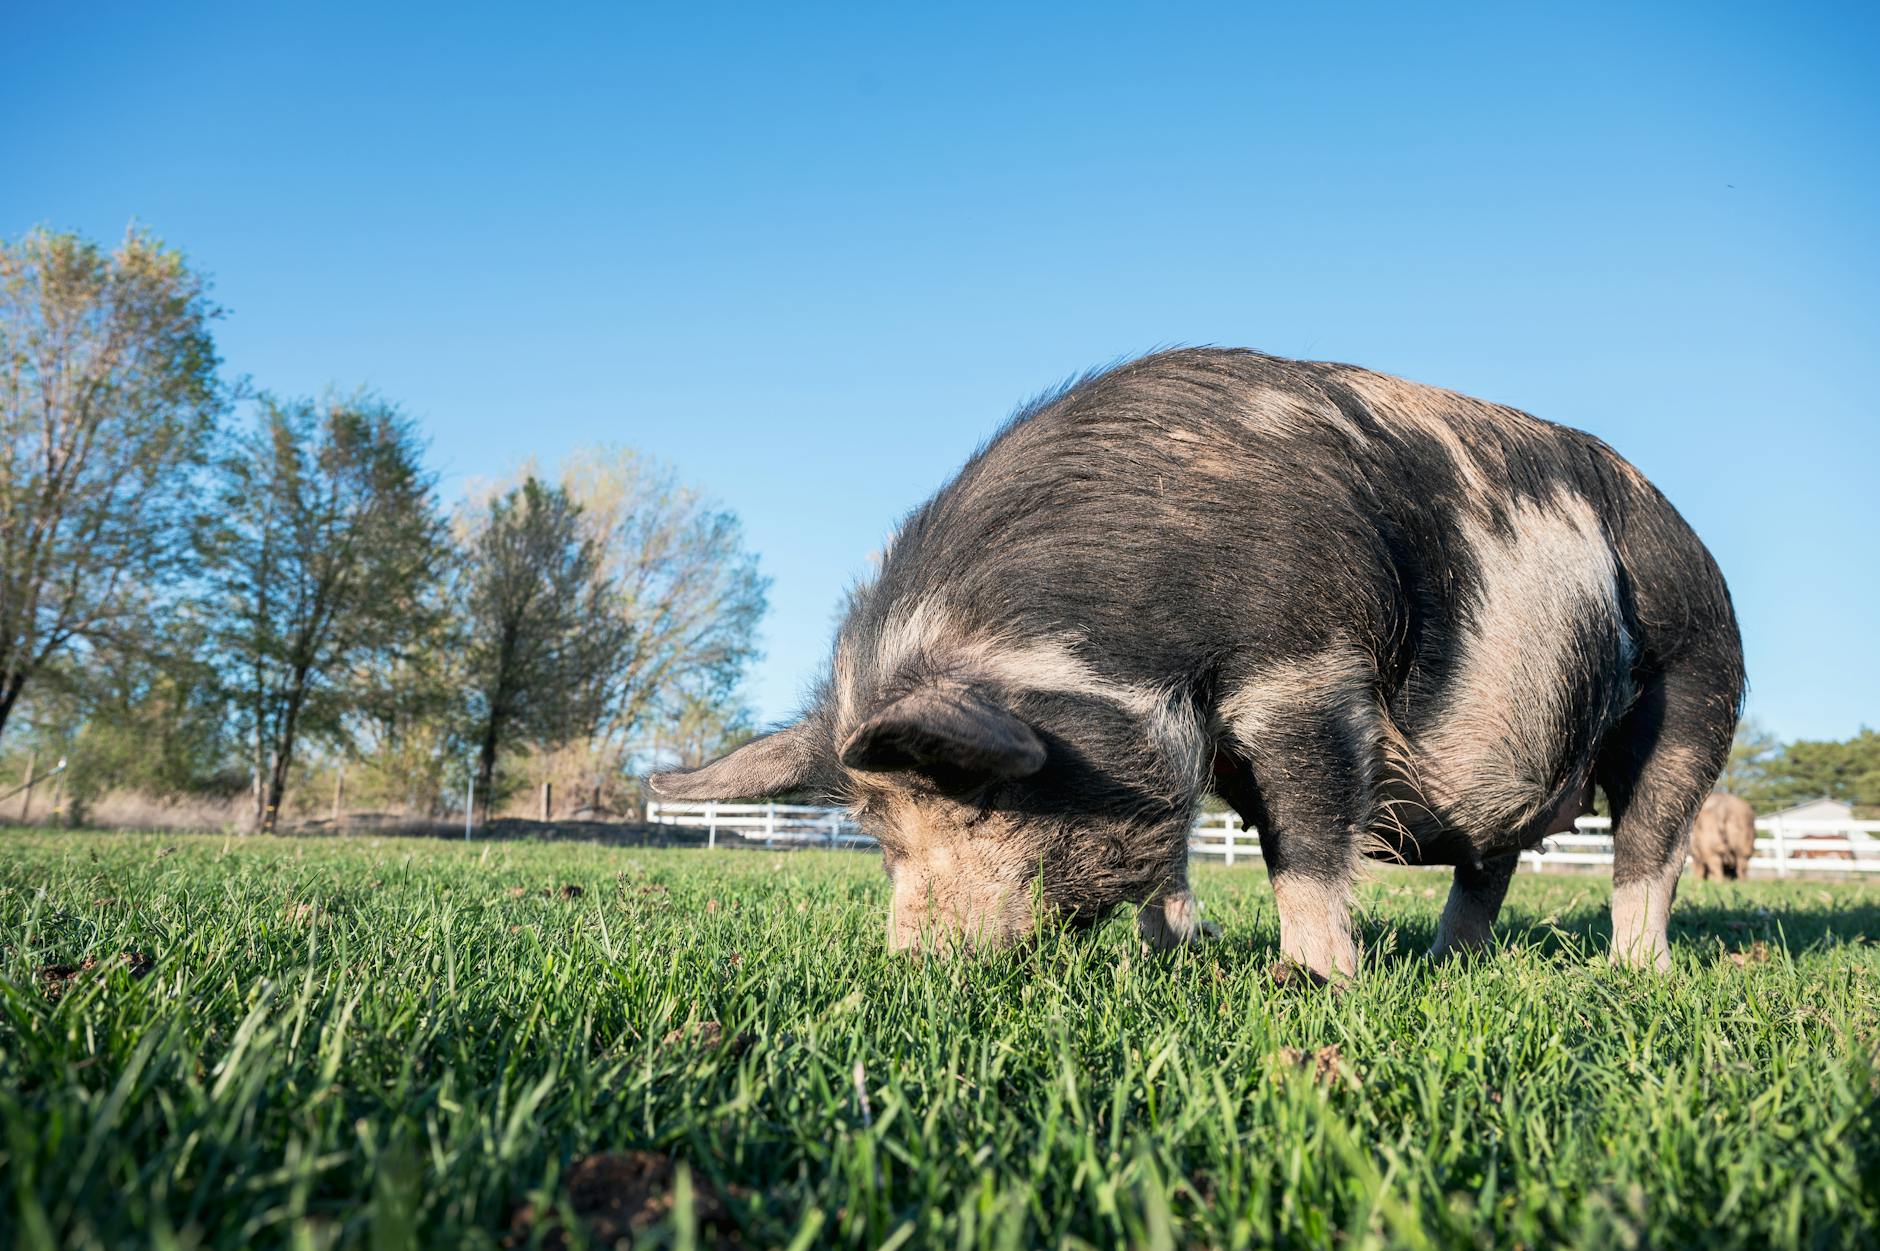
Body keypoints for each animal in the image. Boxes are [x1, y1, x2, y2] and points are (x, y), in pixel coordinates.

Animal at [650, 346, 1744, 970]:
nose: (912, 967)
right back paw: (1446, 964)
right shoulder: (1182, 738)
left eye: (977, 798)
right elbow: (1170, 846)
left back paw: (1633, 974)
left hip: (1697, 686)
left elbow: (1305, 842)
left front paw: (1312, 981)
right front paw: (1178, 953)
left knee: (1649, 846)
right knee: (1490, 864)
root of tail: (1698, 547)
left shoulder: (1309, 672)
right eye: (878, 829)